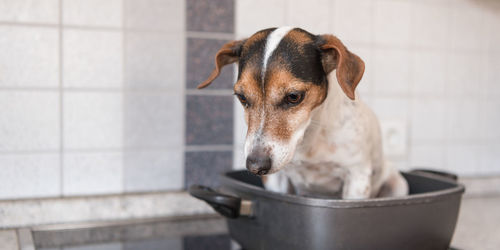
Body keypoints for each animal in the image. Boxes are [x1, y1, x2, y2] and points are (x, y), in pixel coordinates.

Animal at [197, 27, 408, 199]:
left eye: (293, 96)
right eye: (242, 97)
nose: (255, 166)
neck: (311, 136)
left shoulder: (357, 177)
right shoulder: (277, 180)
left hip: (398, 184)